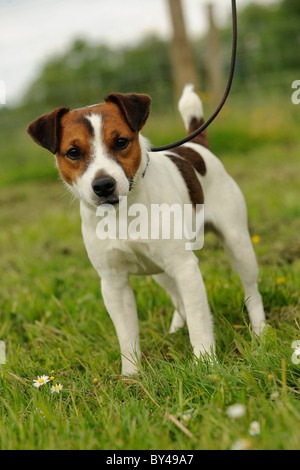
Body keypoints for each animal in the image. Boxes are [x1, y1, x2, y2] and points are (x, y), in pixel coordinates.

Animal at [26, 83, 264, 374]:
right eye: (73, 152)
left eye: (121, 142)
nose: (103, 185)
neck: (124, 213)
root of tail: (196, 146)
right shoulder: (113, 282)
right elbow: (127, 335)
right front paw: (131, 375)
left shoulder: (185, 267)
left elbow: (199, 322)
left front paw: (205, 364)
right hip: (160, 270)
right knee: (177, 298)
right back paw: (175, 329)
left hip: (237, 242)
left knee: (251, 289)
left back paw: (260, 332)